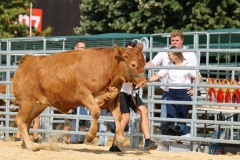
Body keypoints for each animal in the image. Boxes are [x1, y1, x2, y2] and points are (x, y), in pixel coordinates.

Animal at [12, 43, 146, 151]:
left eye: (144, 62)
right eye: (133, 64)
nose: (143, 82)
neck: (106, 67)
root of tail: (28, 59)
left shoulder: (114, 99)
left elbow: (118, 117)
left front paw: (120, 138)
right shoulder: (84, 94)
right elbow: (96, 111)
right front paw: (90, 136)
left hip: (38, 105)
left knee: (27, 120)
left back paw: (25, 144)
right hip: (26, 102)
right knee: (20, 120)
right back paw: (31, 146)